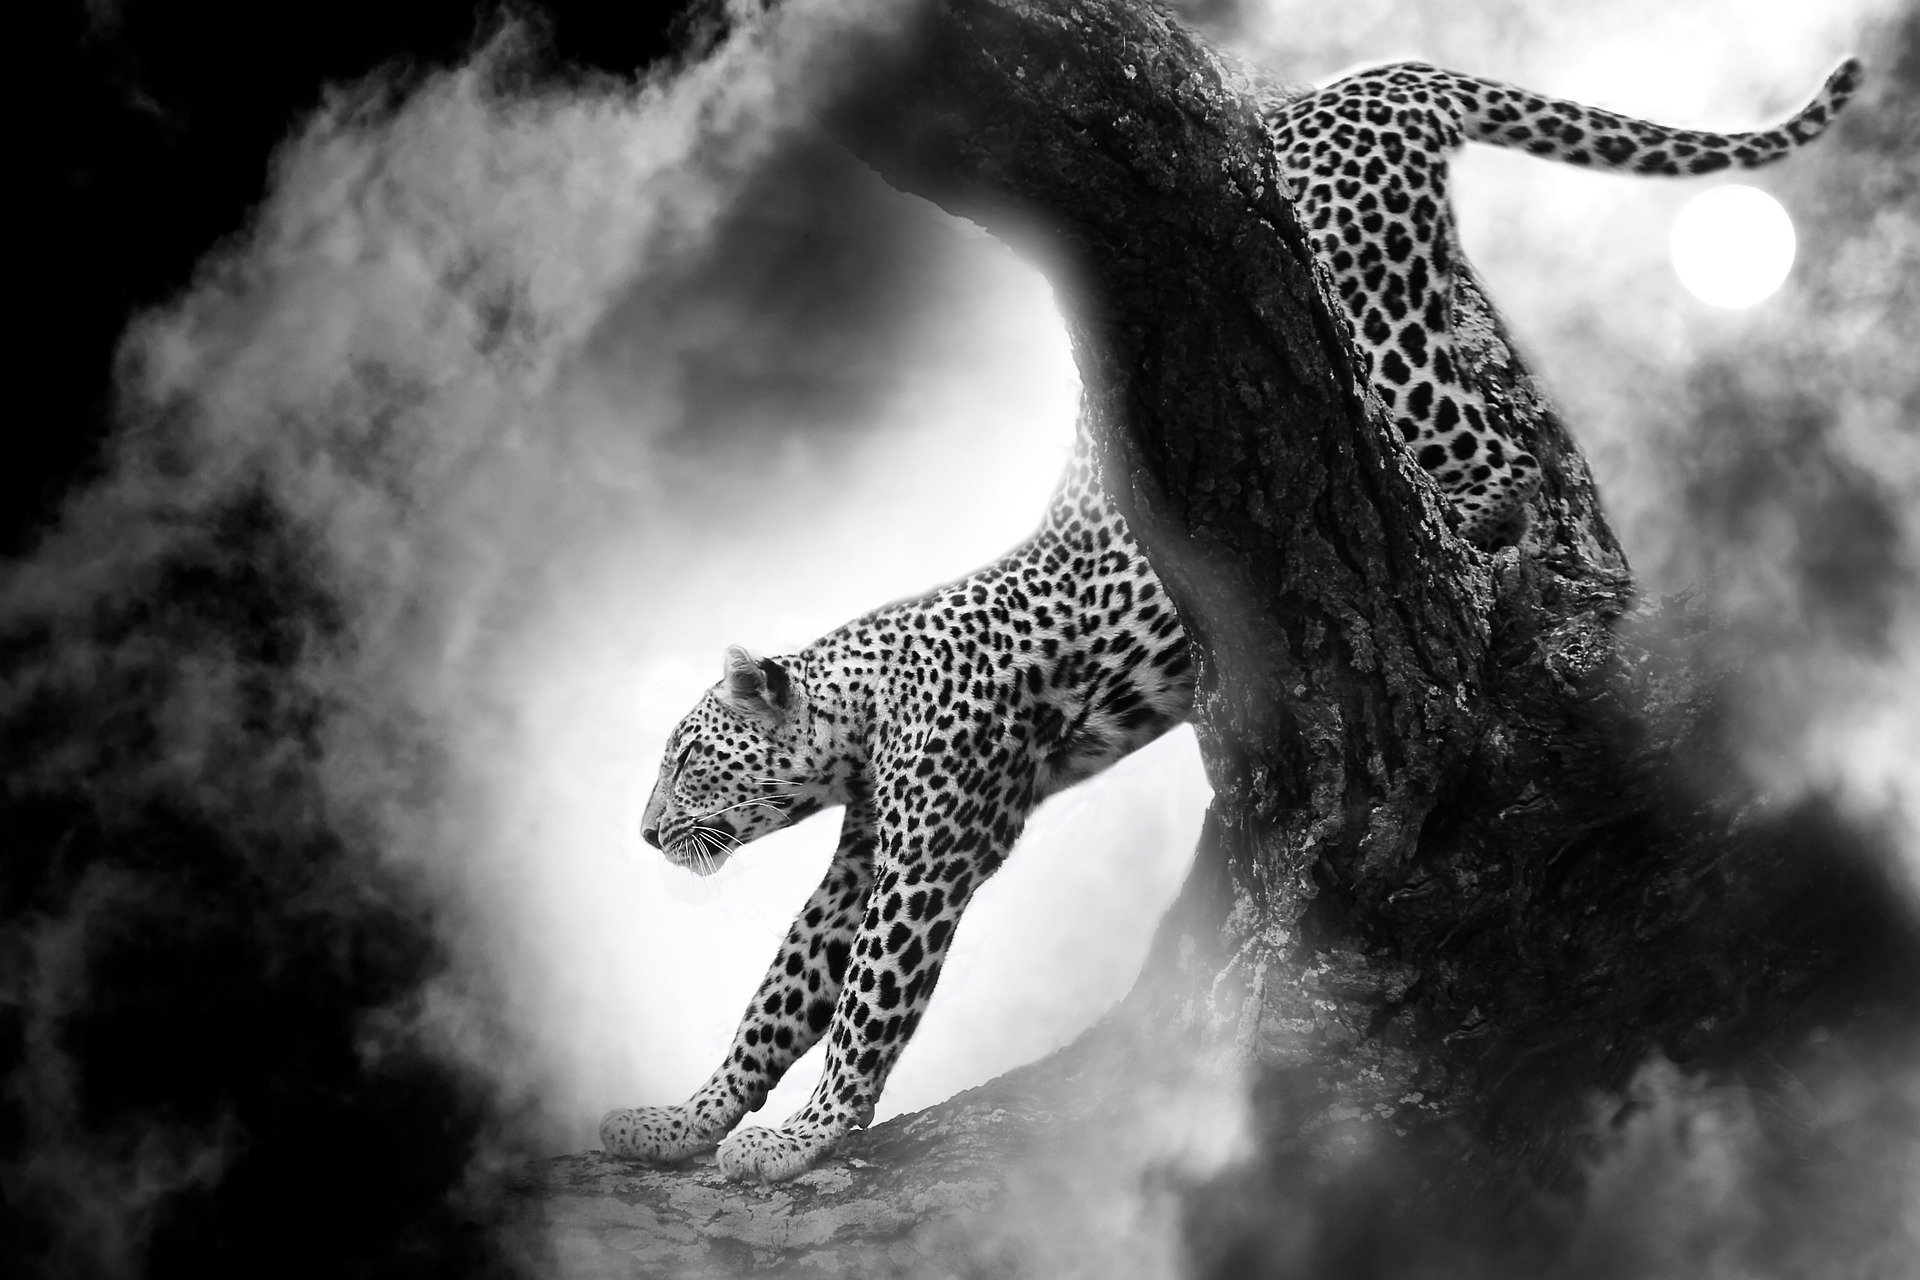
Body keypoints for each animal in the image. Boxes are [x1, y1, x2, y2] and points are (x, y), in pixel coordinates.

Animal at [600, 56, 1860, 1183]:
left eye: (688, 756)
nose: (648, 836)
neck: (863, 704)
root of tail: (1369, 84)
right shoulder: (870, 848)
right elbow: (782, 990)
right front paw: (682, 1119)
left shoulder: (927, 850)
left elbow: (866, 998)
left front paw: (803, 1138)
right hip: (1440, 313)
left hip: (1387, 348)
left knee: (1498, 460)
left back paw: (1515, 544)